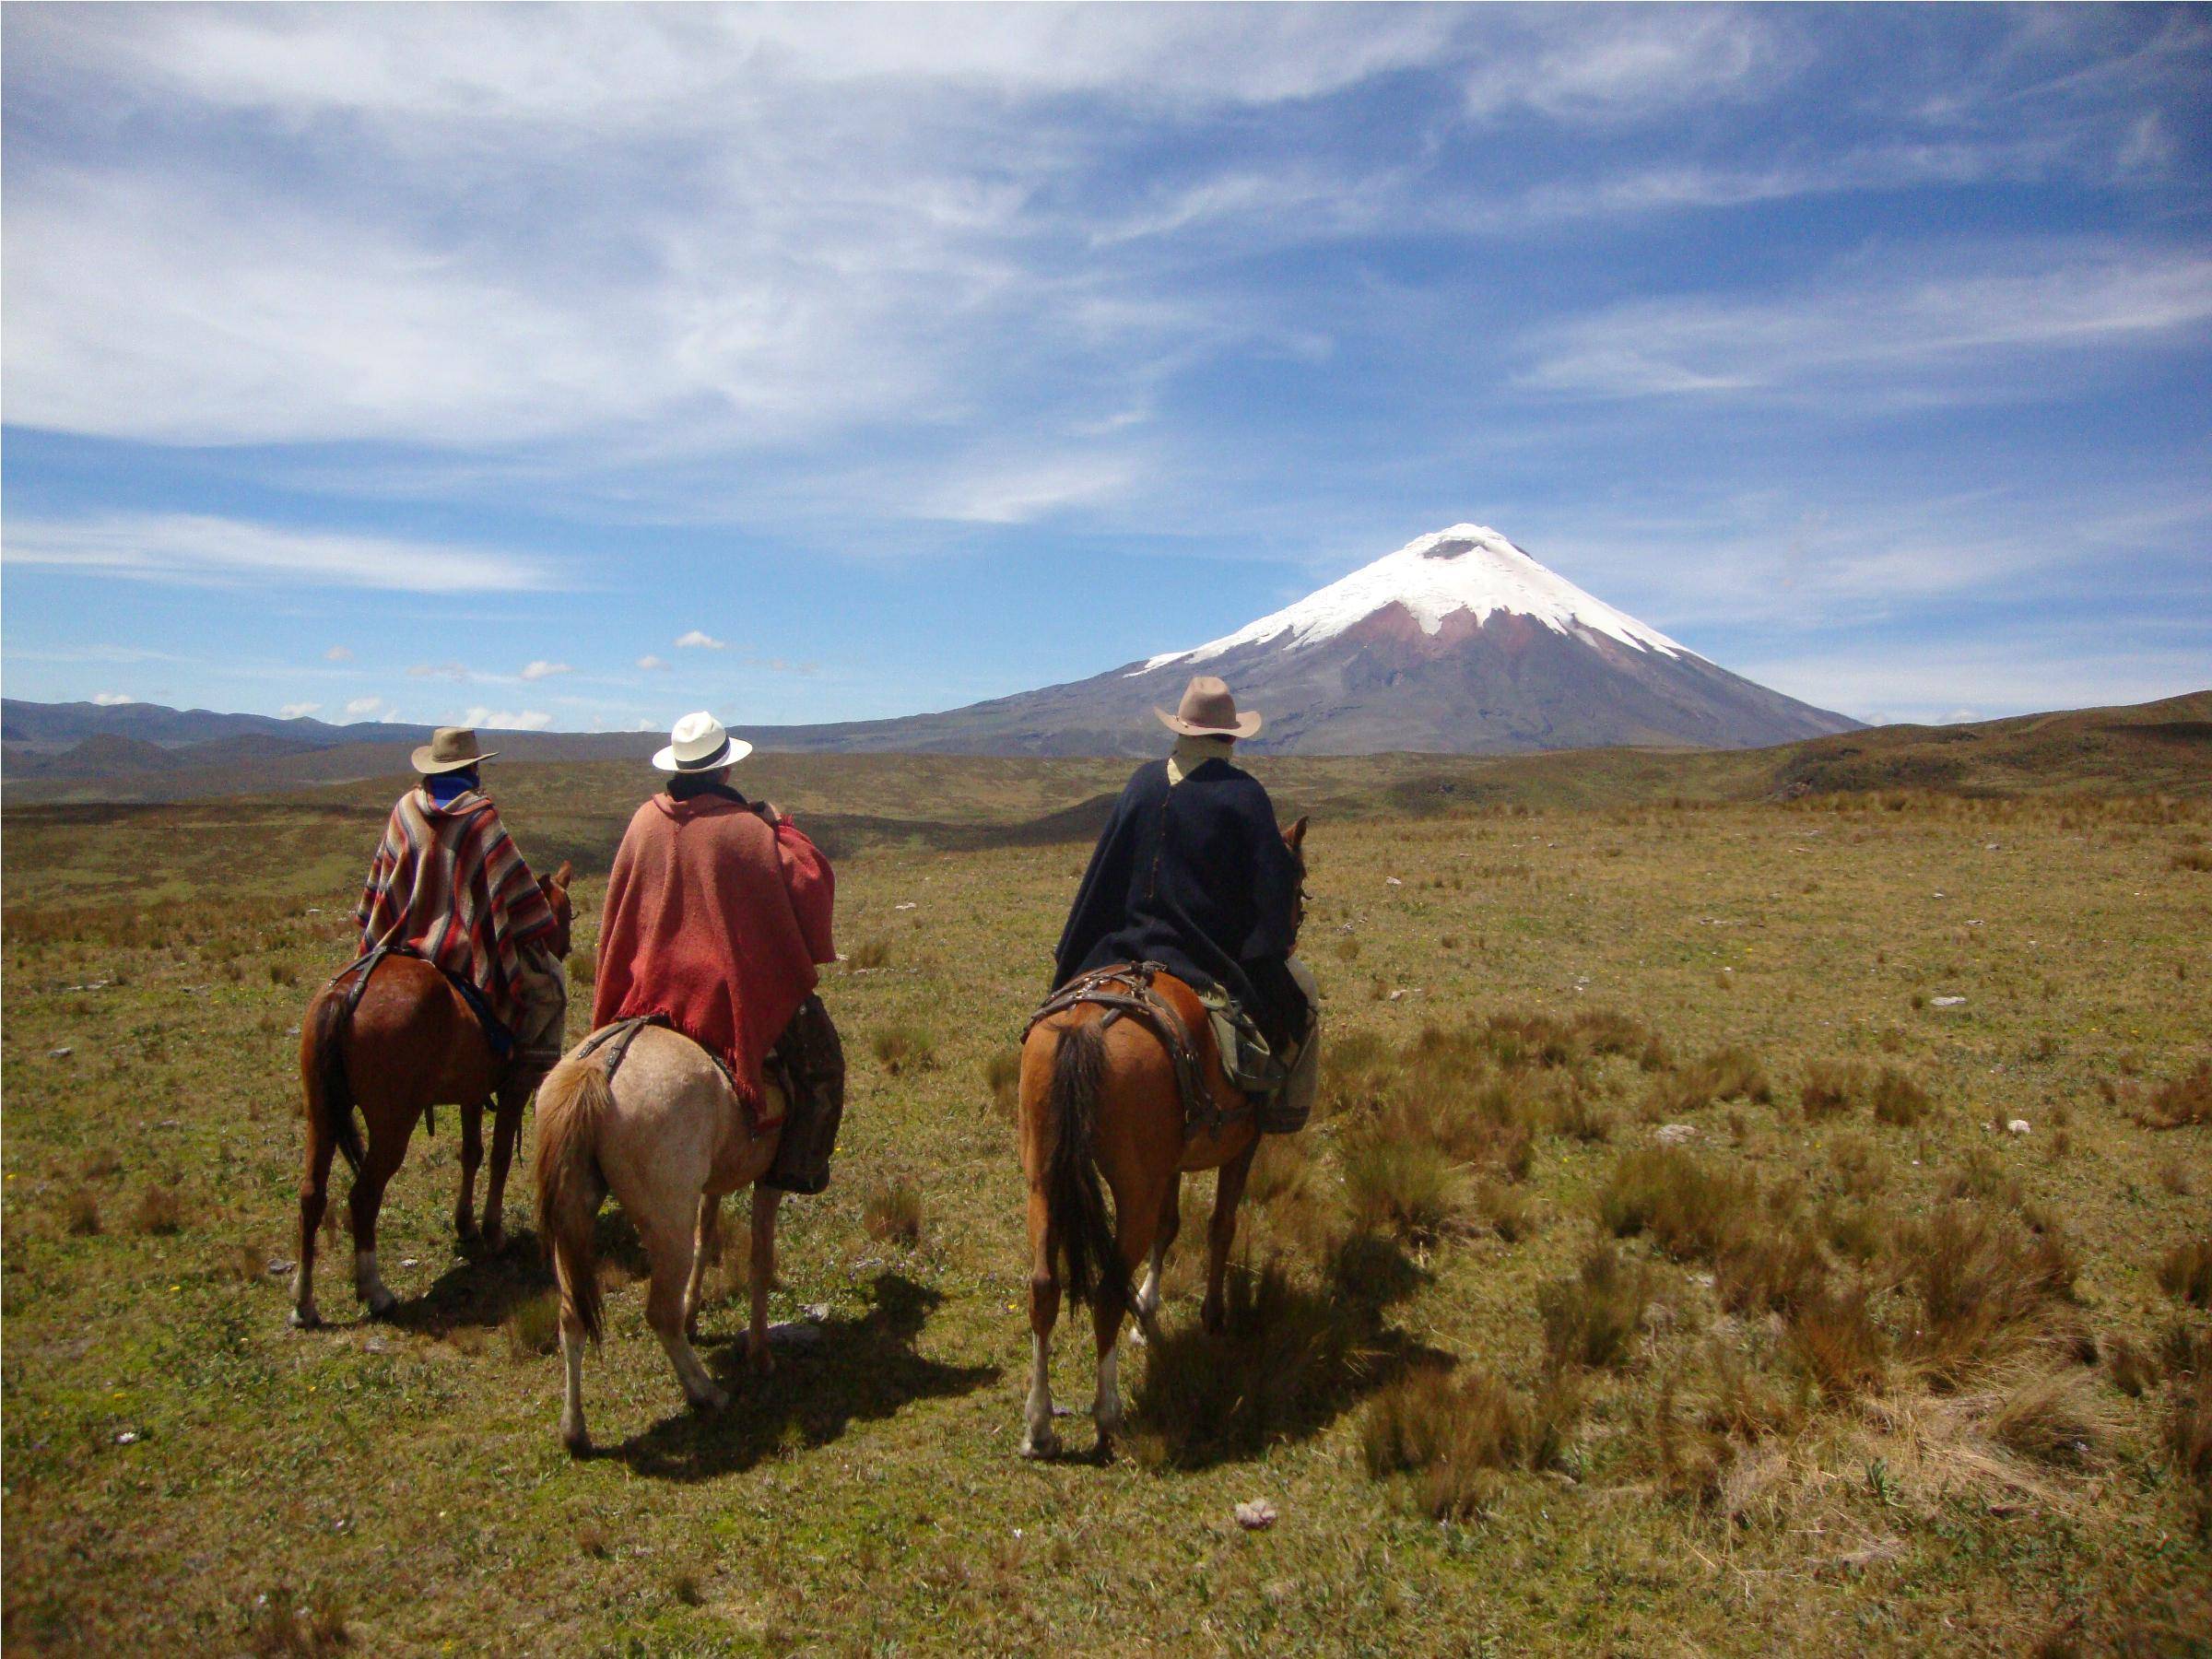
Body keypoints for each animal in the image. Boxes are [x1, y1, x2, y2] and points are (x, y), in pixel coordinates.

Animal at [289, 863, 575, 1335]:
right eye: (566, 912)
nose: (565, 946)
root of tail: (344, 995)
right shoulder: (513, 1090)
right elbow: (499, 1156)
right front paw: (493, 1232)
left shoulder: (471, 1094)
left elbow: (471, 1153)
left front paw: (466, 1225)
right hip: (391, 1124)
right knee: (362, 1197)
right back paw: (375, 1292)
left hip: (322, 1112)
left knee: (312, 1194)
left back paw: (303, 1302)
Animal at [537, 1026, 796, 1451]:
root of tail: (598, 1070)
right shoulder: (770, 1178)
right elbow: (760, 1259)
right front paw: (761, 1355)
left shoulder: (711, 1185)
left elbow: (706, 1238)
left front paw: (695, 1315)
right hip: (668, 1225)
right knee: (660, 1313)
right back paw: (706, 1393)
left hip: (571, 1221)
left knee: (572, 1316)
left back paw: (574, 1431)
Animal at [1021, 818, 1309, 1451]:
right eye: (1298, 878)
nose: (1294, 931)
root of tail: (1086, 1025)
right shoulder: (1241, 1146)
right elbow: (1221, 1225)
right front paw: (1212, 1316)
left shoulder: (1170, 1164)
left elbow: (1171, 1227)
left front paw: (1149, 1314)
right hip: (1132, 1185)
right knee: (1106, 1287)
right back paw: (1106, 1413)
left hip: (1044, 1176)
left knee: (1044, 1284)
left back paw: (1039, 1423)